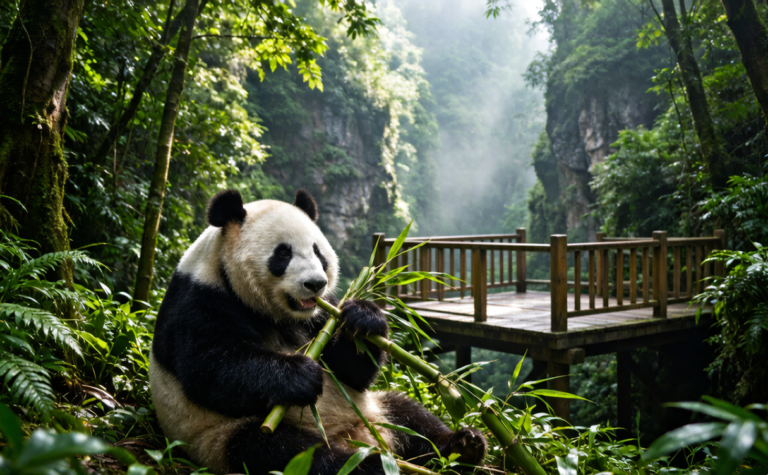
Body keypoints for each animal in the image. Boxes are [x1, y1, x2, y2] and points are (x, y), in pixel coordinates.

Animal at [149, 189, 487, 475]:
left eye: (318, 252)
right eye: (282, 254)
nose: (315, 283)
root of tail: (358, 437)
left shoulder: (322, 314)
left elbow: (352, 370)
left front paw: (364, 319)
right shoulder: (201, 299)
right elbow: (210, 367)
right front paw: (299, 376)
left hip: (375, 409)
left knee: (408, 414)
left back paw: (463, 445)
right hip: (224, 437)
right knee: (289, 453)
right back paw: (370, 465)